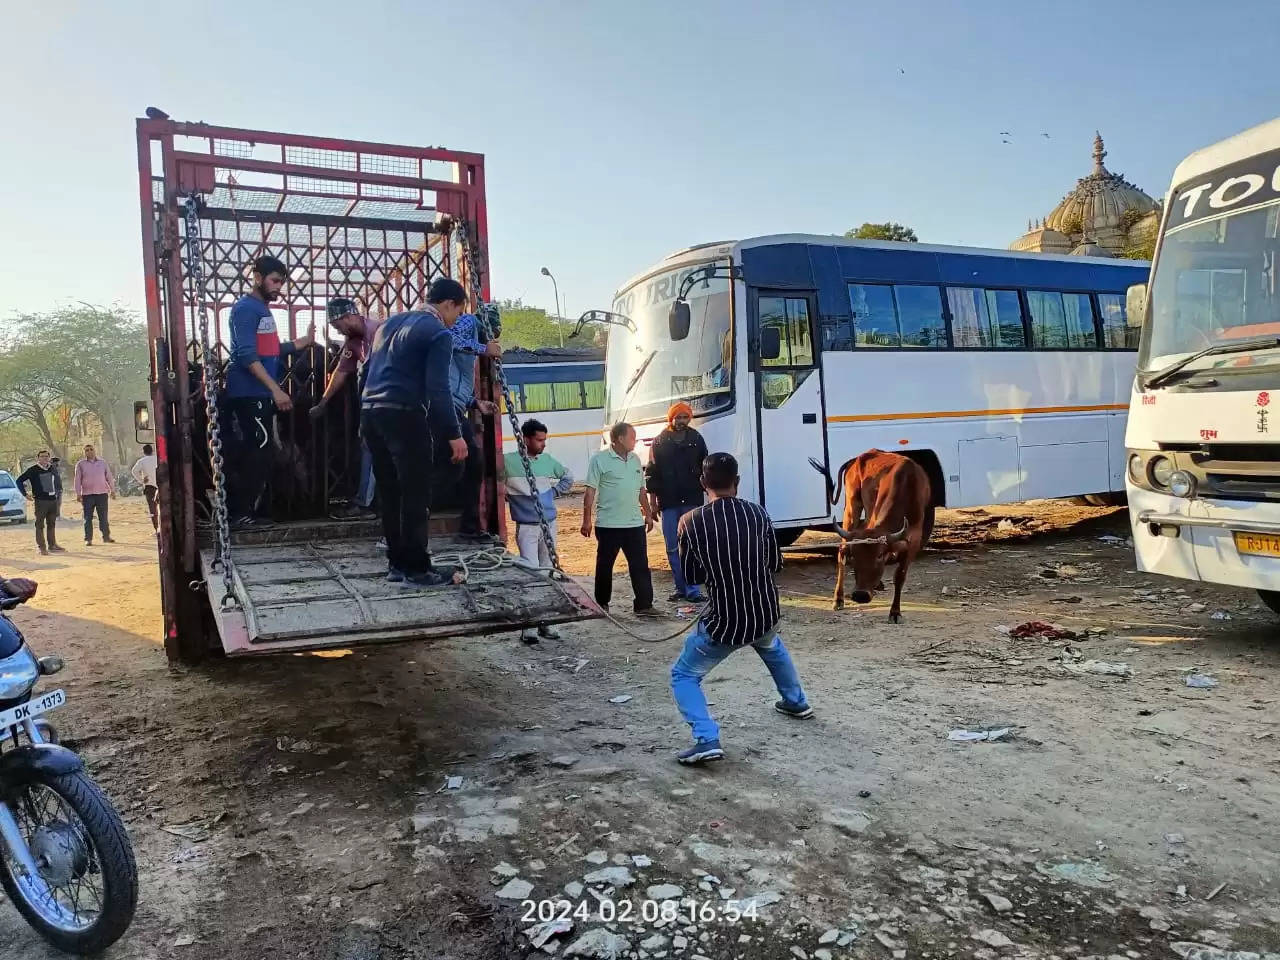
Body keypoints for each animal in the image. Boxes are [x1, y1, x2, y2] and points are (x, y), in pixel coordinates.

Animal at [814, 450, 936, 624]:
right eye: (854, 556)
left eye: (879, 555)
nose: (860, 595)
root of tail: (856, 459)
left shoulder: (913, 541)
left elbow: (900, 576)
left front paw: (895, 612)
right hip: (852, 506)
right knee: (842, 549)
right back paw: (838, 599)